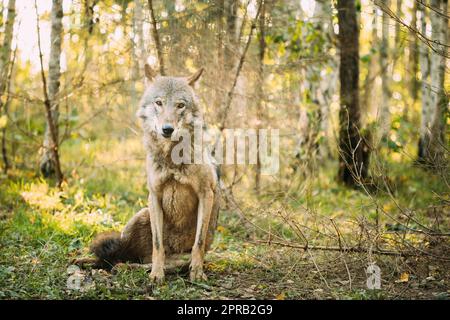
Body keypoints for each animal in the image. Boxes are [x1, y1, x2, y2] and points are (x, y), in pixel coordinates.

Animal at [75, 64, 220, 282]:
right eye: (159, 103)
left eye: (180, 105)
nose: (167, 129)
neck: (171, 157)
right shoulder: (155, 196)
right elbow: (157, 245)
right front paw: (157, 276)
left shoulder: (206, 194)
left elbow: (199, 242)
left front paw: (197, 272)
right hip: (139, 217)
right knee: (119, 254)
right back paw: (89, 261)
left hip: (175, 255)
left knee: (136, 262)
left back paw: (124, 268)